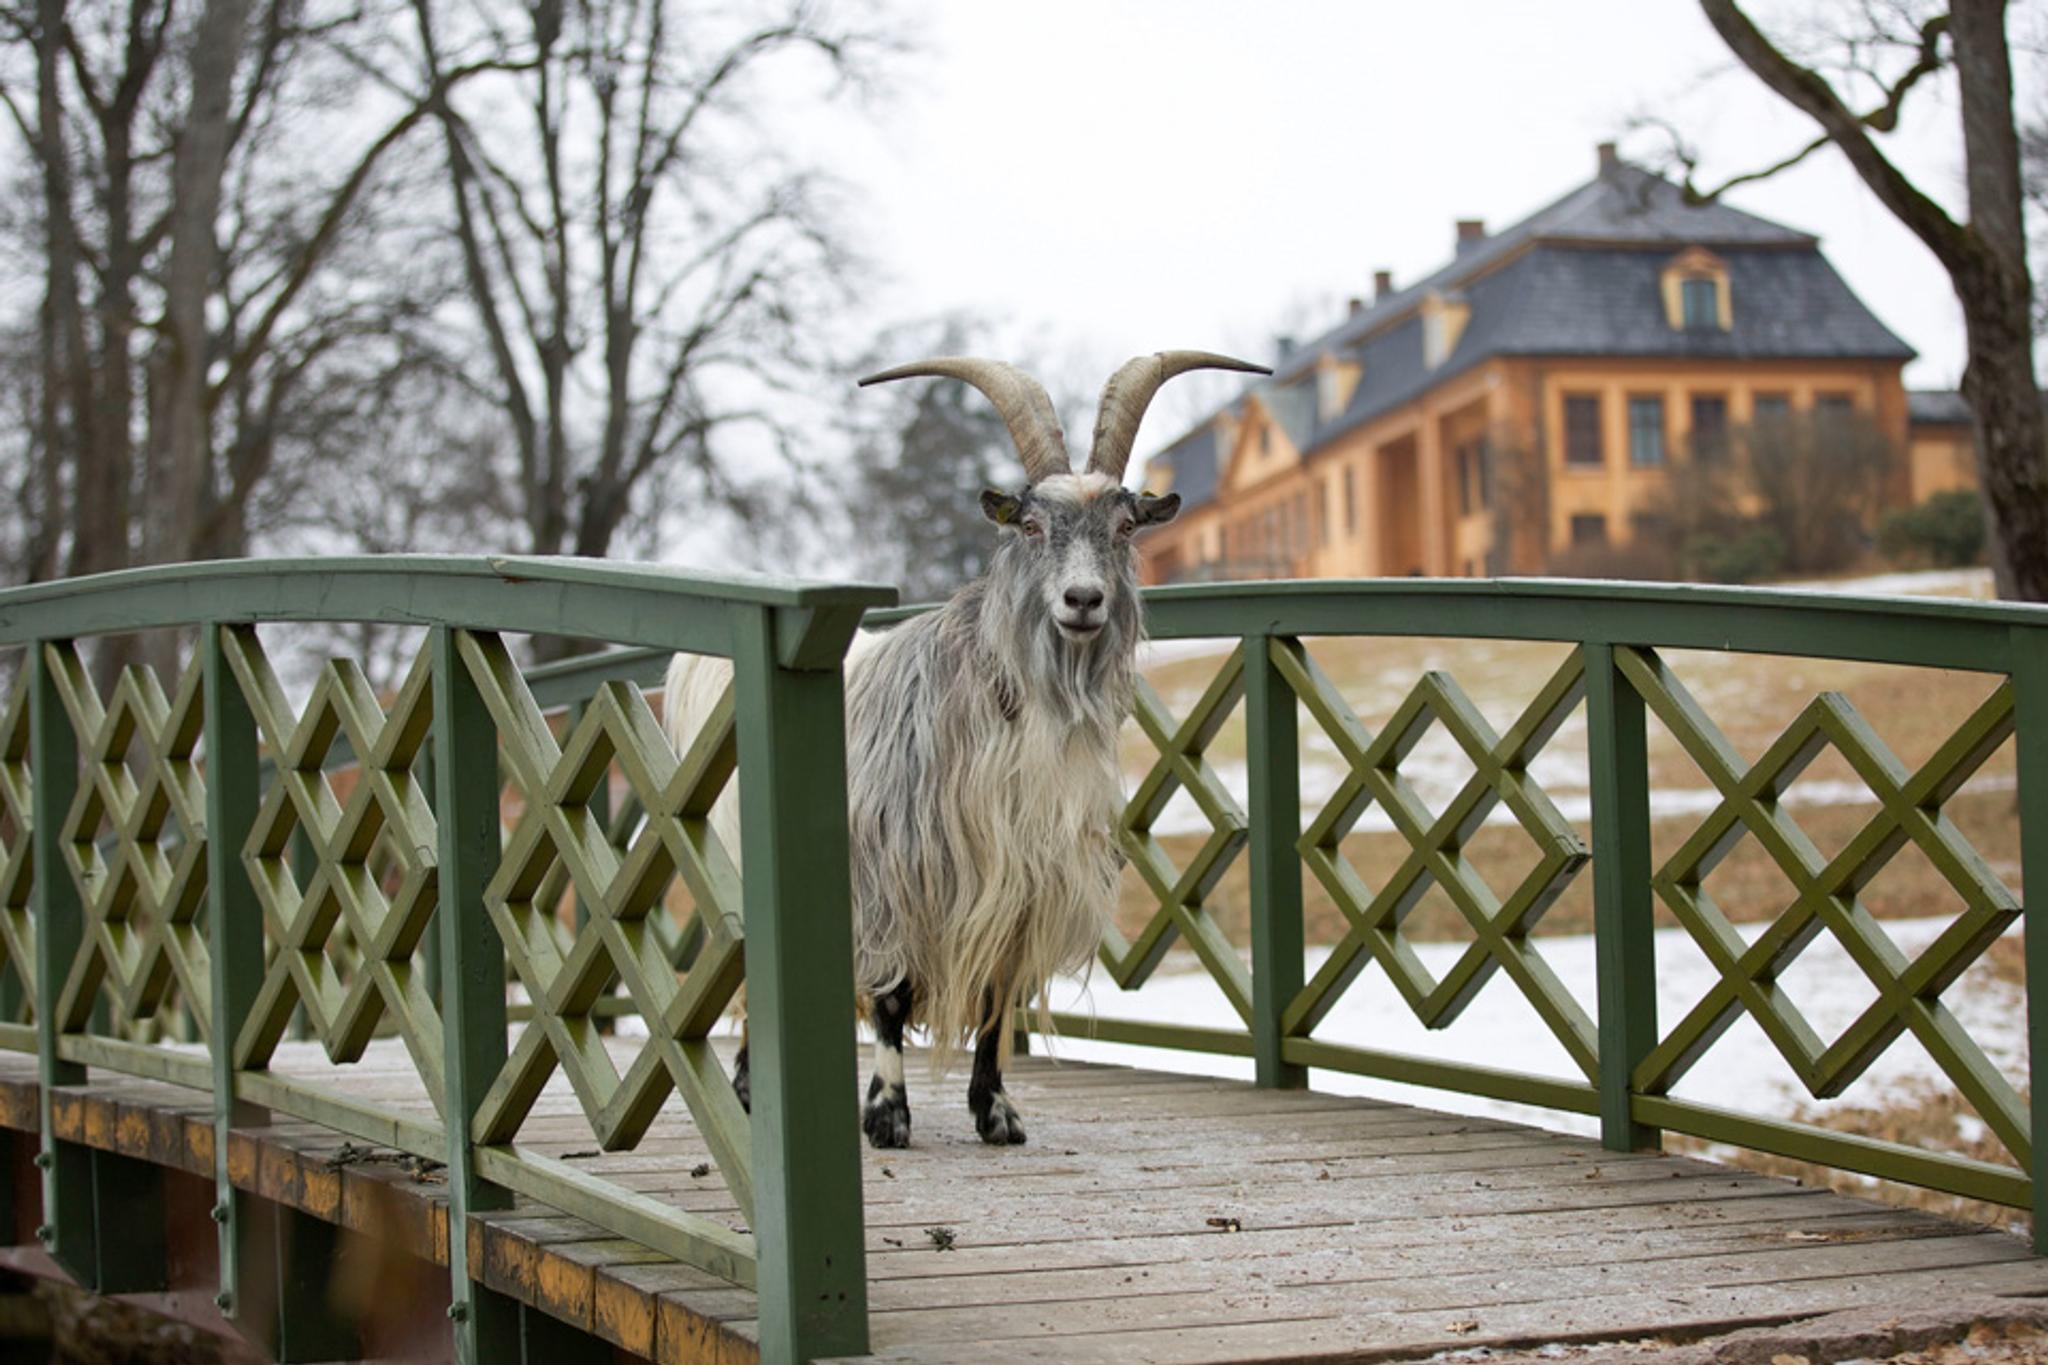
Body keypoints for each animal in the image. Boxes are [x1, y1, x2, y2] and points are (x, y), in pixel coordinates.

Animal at [664, 351, 1267, 1147]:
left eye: (1125, 525)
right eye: (1032, 524)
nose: (1082, 600)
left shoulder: (1022, 884)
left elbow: (996, 995)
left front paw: (997, 1109)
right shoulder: (895, 876)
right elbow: (891, 996)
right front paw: (887, 1113)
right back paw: (746, 1088)